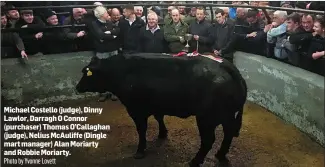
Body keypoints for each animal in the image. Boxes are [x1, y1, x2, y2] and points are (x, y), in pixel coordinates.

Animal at [76, 52, 247, 166]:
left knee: (208, 140)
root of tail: (225, 64)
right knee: (228, 134)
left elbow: (142, 130)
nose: (77, 87)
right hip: (227, 115)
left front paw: (140, 150)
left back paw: (195, 161)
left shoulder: (136, 109)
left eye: (87, 74)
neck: (121, 72)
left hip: (206, 118)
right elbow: (159, 117)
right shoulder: (156, 104)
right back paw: (220, 154)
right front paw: (162, 133)